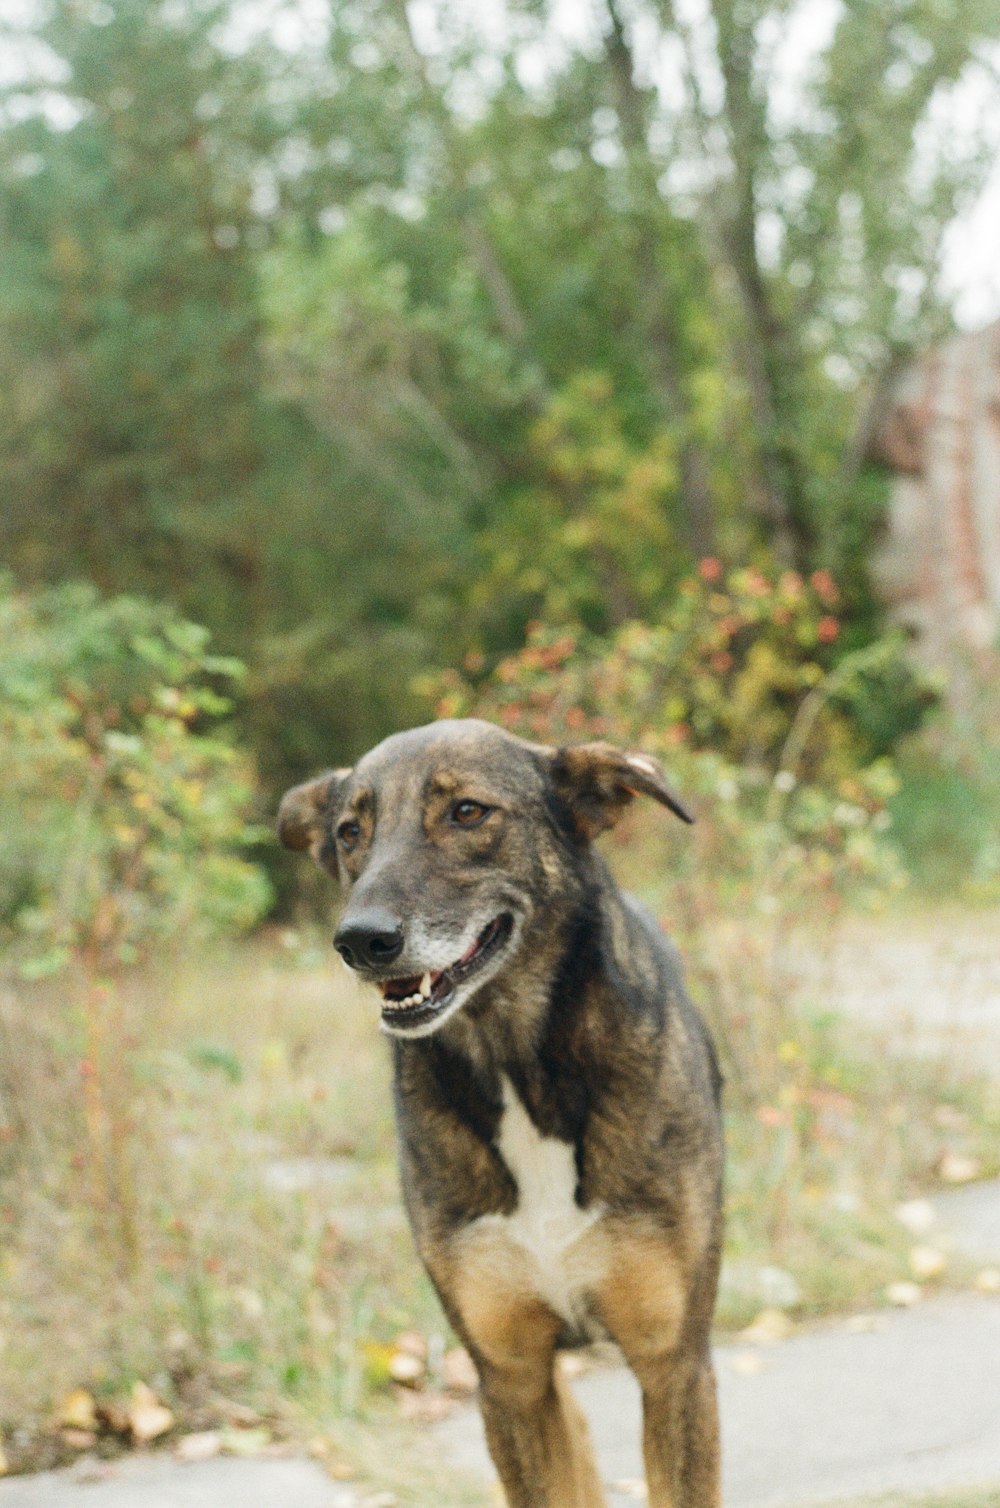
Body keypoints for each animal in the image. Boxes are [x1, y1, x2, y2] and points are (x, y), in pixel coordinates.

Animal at [277, 717, 723, 1508]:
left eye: (467, 813)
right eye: (350, 832)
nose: (361, 940)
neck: (517, 1063)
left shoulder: (674, 1365)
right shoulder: (509, 1378)